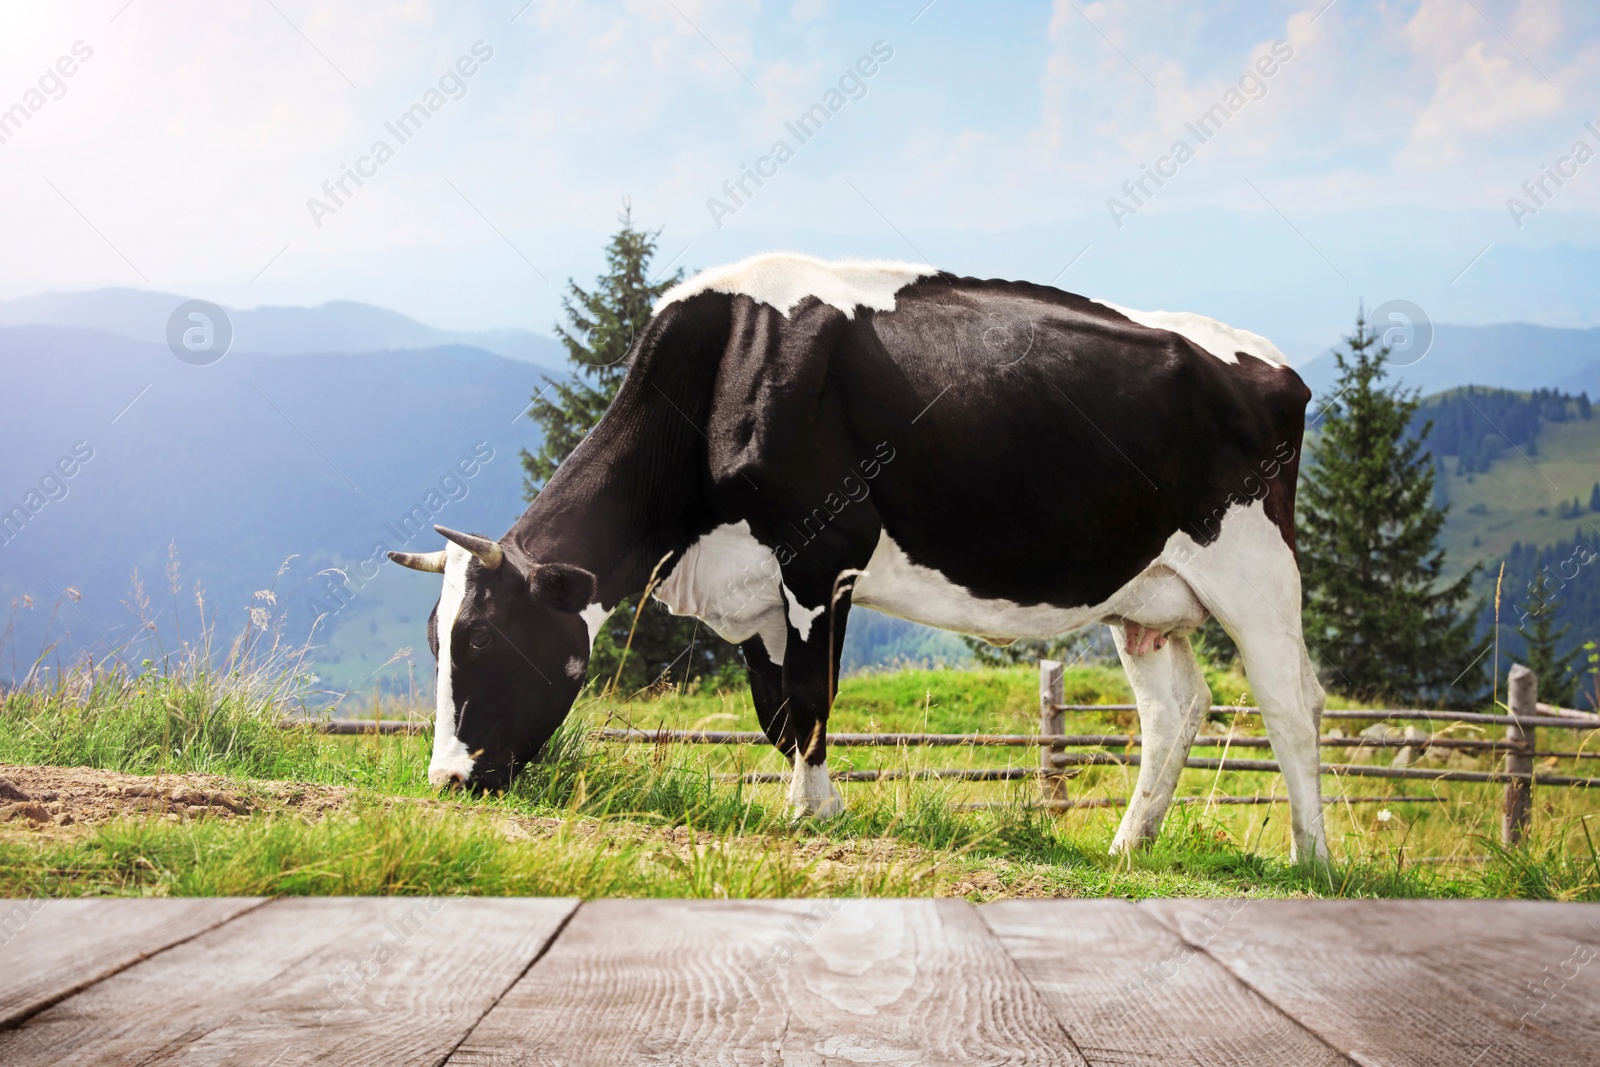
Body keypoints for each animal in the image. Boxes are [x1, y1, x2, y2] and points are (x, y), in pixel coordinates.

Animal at [393, 254, 1331, 863]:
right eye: (437, 643)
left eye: (482, 641)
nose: (446, 779)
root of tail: (1277, 368)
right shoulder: (754, 592)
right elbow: (778, 714)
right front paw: (823, 802)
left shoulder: (823, 556)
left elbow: (812, 697)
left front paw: (808, 816)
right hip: (1146, 598)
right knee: (1177, 710)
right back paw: (1128, 846)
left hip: (1257, 571)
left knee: (1291, 703)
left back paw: (1310, 858)